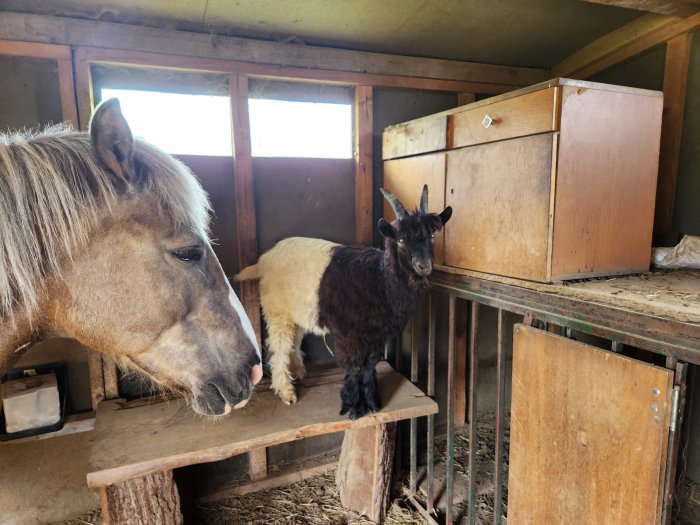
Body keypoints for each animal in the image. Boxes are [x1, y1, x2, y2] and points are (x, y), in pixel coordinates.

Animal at [235, 185, 452, 419]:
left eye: (431, 235)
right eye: (401, 240)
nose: (424, 265)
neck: (379, 279)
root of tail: (264, 259)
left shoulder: (376, 335)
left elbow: (369, 365)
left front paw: (373, 403)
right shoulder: (350, 335)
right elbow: (354, 366)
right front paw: (354, 408)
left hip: (299, 311)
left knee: (295, 338)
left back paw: (299, 371)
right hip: (278, 310)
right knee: (279, 346)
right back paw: (287, 392)